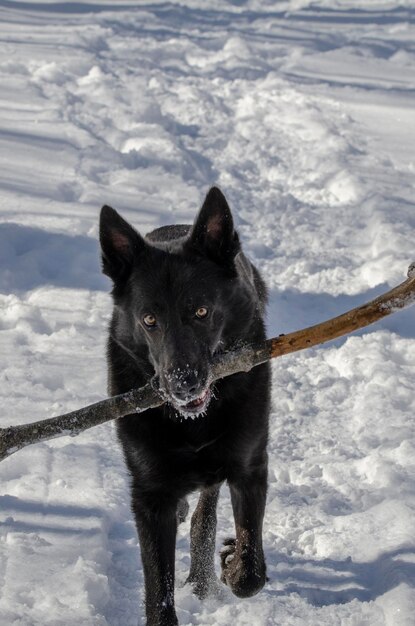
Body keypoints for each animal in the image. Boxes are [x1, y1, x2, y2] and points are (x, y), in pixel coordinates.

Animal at [99, 186, 272, 624]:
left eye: (201, 311)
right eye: (148, 320)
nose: (182, 384)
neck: (190, 421)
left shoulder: (250, 467)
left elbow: (251, 572)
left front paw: (231, 564)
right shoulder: (149, 496)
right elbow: (157, 588)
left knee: (205, 514)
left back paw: (205, 572)